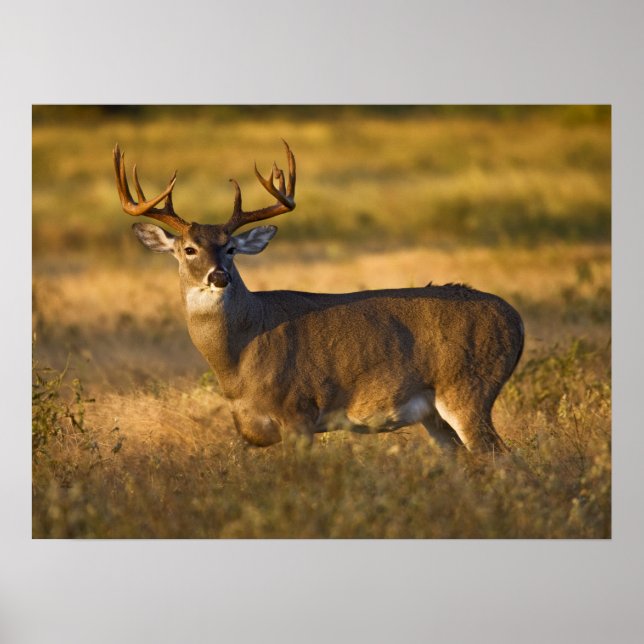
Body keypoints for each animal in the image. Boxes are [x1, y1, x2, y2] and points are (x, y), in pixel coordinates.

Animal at [113, 141, 524, 454]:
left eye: (230, 248)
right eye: (188, 249)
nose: (219, 276)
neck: (240, 358)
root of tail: (516, 320)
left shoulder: (298, 410)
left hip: (468, 388)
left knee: (503, 459)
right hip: (434, 415)